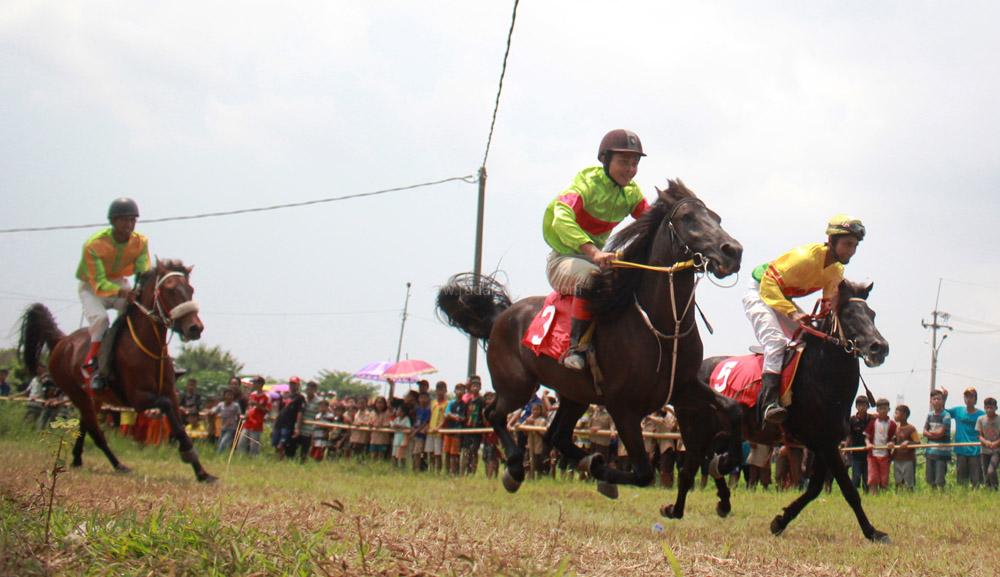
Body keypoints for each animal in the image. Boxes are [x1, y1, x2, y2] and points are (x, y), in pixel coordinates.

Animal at [19, 258, 217, 480]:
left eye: (190, 289)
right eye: (170, 290)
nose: (195, 328)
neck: (150, 347)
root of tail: (62, 341)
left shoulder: (170, 392)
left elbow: (179, 423)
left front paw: (202, 472)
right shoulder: (137, 398)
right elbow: (166, 407)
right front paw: (187, 453)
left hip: (93, 398)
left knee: (85, 425)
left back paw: (78, 459)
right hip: (76, 393)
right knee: (95, 431)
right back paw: (118, 465)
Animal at [438, 180, 744, 496]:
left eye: (716, 218)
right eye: (687, 218)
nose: (733, 251)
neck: (664, 326)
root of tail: (500, 317)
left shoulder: (683, 386)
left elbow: (733, 409)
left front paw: (723, 460)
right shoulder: (623, 408)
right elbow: (644, 473)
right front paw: (605, 477)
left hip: (574, 395)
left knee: (555, 435)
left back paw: (587, 460)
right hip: (517, 385)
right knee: (493, 414)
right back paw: (515, 468)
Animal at [664, 278, 892, 540]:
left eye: (872, 314)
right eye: (850, 315)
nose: (879, 347)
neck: (821, 375)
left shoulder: (825, 443)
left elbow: (814, 489)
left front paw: (780, 521)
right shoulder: (823, 443)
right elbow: (849, 491)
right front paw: (873, 531)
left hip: (719, 434)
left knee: (708, 460)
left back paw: (723, 500)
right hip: (695, 431)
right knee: (689, 469)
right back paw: (675, 509)